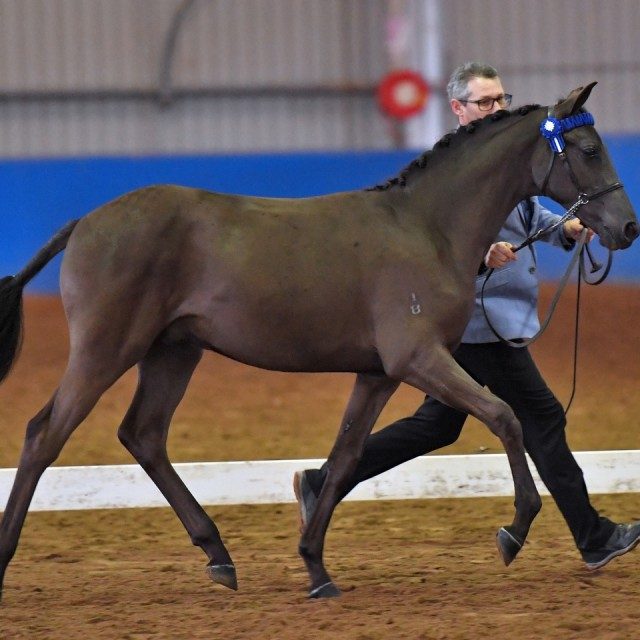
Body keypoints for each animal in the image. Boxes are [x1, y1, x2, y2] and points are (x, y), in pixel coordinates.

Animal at [0, 83, 637, 601]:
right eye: (587, 149)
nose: (626, 228)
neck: (427, 228)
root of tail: (85, 222)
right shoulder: (418, 359)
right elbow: (506, 416)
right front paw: (514, 531)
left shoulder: (379, 373)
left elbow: (346, 455)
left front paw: (315, 567)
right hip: (106, 350)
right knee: (43, 435)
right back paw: (8, 556)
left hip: (174, 351)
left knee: (144, 435)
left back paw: (219, 556)